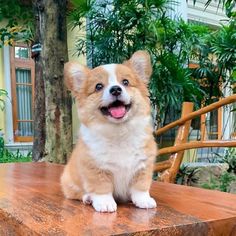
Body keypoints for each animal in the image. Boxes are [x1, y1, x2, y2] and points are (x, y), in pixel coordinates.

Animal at [60, 50, 157, 212]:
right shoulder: (96, 168)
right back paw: (88, 198)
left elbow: (140, 187)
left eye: (125, 82)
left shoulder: (142, 166)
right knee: (77, 194)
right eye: (99, 86)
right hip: (69, 181)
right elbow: (102, 188)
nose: (116, 89)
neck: (119, 132)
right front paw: (105, 203)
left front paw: (144, 200)